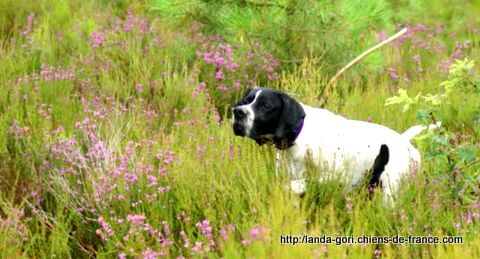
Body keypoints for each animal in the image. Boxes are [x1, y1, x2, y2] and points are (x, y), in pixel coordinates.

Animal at [232, 87, 438, 205]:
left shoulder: (334, 177)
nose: (238, 112)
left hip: (390, 194)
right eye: (246, 101)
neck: (298, 137)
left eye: (266, 106)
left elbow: (298, 184)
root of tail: (405, 141)